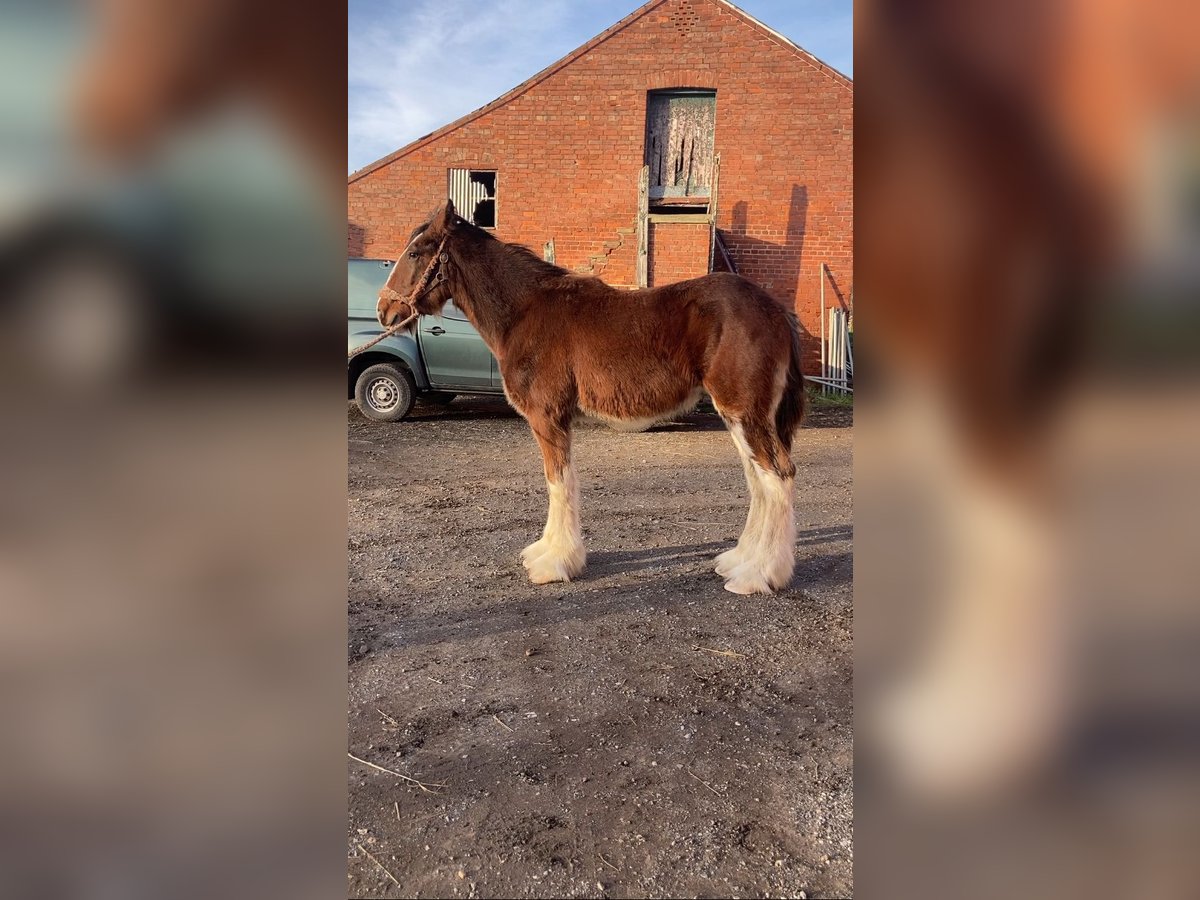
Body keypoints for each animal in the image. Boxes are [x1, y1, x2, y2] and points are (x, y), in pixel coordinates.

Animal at [377, 200, 806, 595]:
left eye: (415, 252)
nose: (384, 309)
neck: (525, 313)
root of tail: (775, 311)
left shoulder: (547, 418)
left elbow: (559, 482)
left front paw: (554, 564)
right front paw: (546, 553)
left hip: (744, 413)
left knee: (777, 477)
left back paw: (759, 575)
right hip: (740, 417)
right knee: (758, 480)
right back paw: (739, 560)